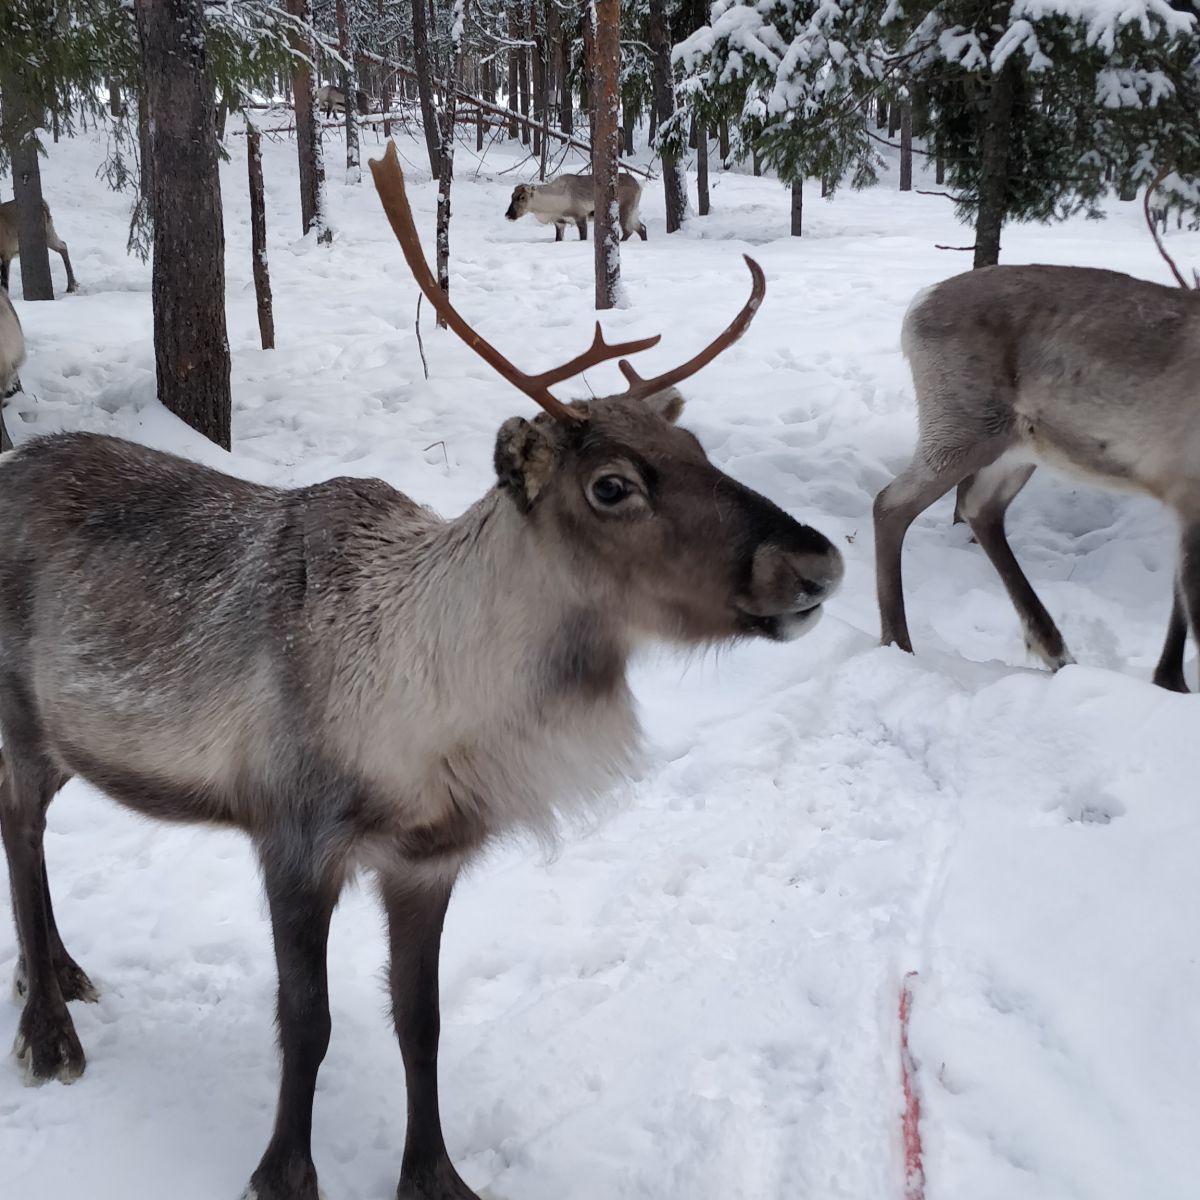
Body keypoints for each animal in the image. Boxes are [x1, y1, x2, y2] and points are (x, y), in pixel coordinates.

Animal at [505, 172, 648, 242]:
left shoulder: (580, 217)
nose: (508, 215)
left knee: (629, 231)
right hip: (633, 211)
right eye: (511, 196)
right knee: (642, 228)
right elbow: (558, 239)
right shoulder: (560, 222)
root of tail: (638, 186)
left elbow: (583, 237)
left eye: (522, 197)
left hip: (624, 209)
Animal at [873, 170, 1200, 691]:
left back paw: (1054, 648)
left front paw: (1169, 683)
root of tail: (916, 306)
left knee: (978, 507)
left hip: (1017, 448)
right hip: (963, 425)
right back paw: (900, 644)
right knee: (892, 504)